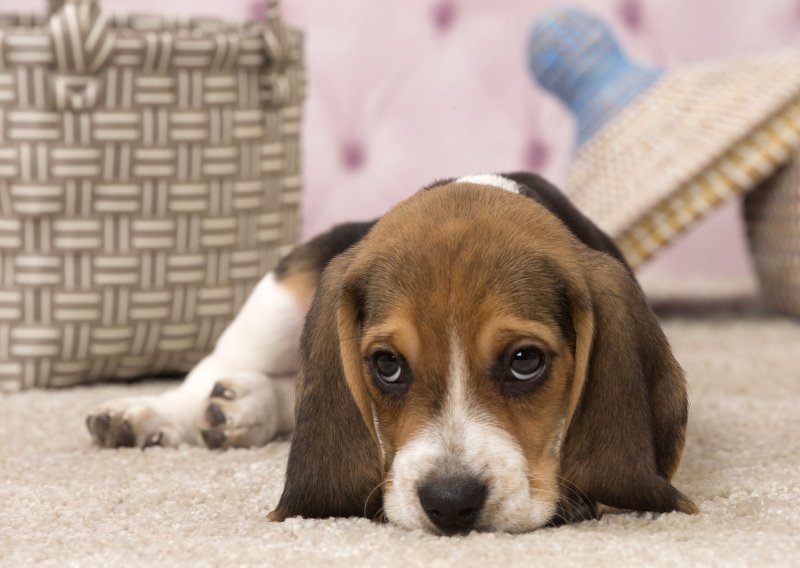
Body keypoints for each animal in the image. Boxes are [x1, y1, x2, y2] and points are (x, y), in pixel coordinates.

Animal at [86, 172, 692, 532]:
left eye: (525, 361)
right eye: (387, 365)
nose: (451, 503)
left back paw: (241, 409)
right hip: (284, 290)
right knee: (215, 369)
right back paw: (153, 414)